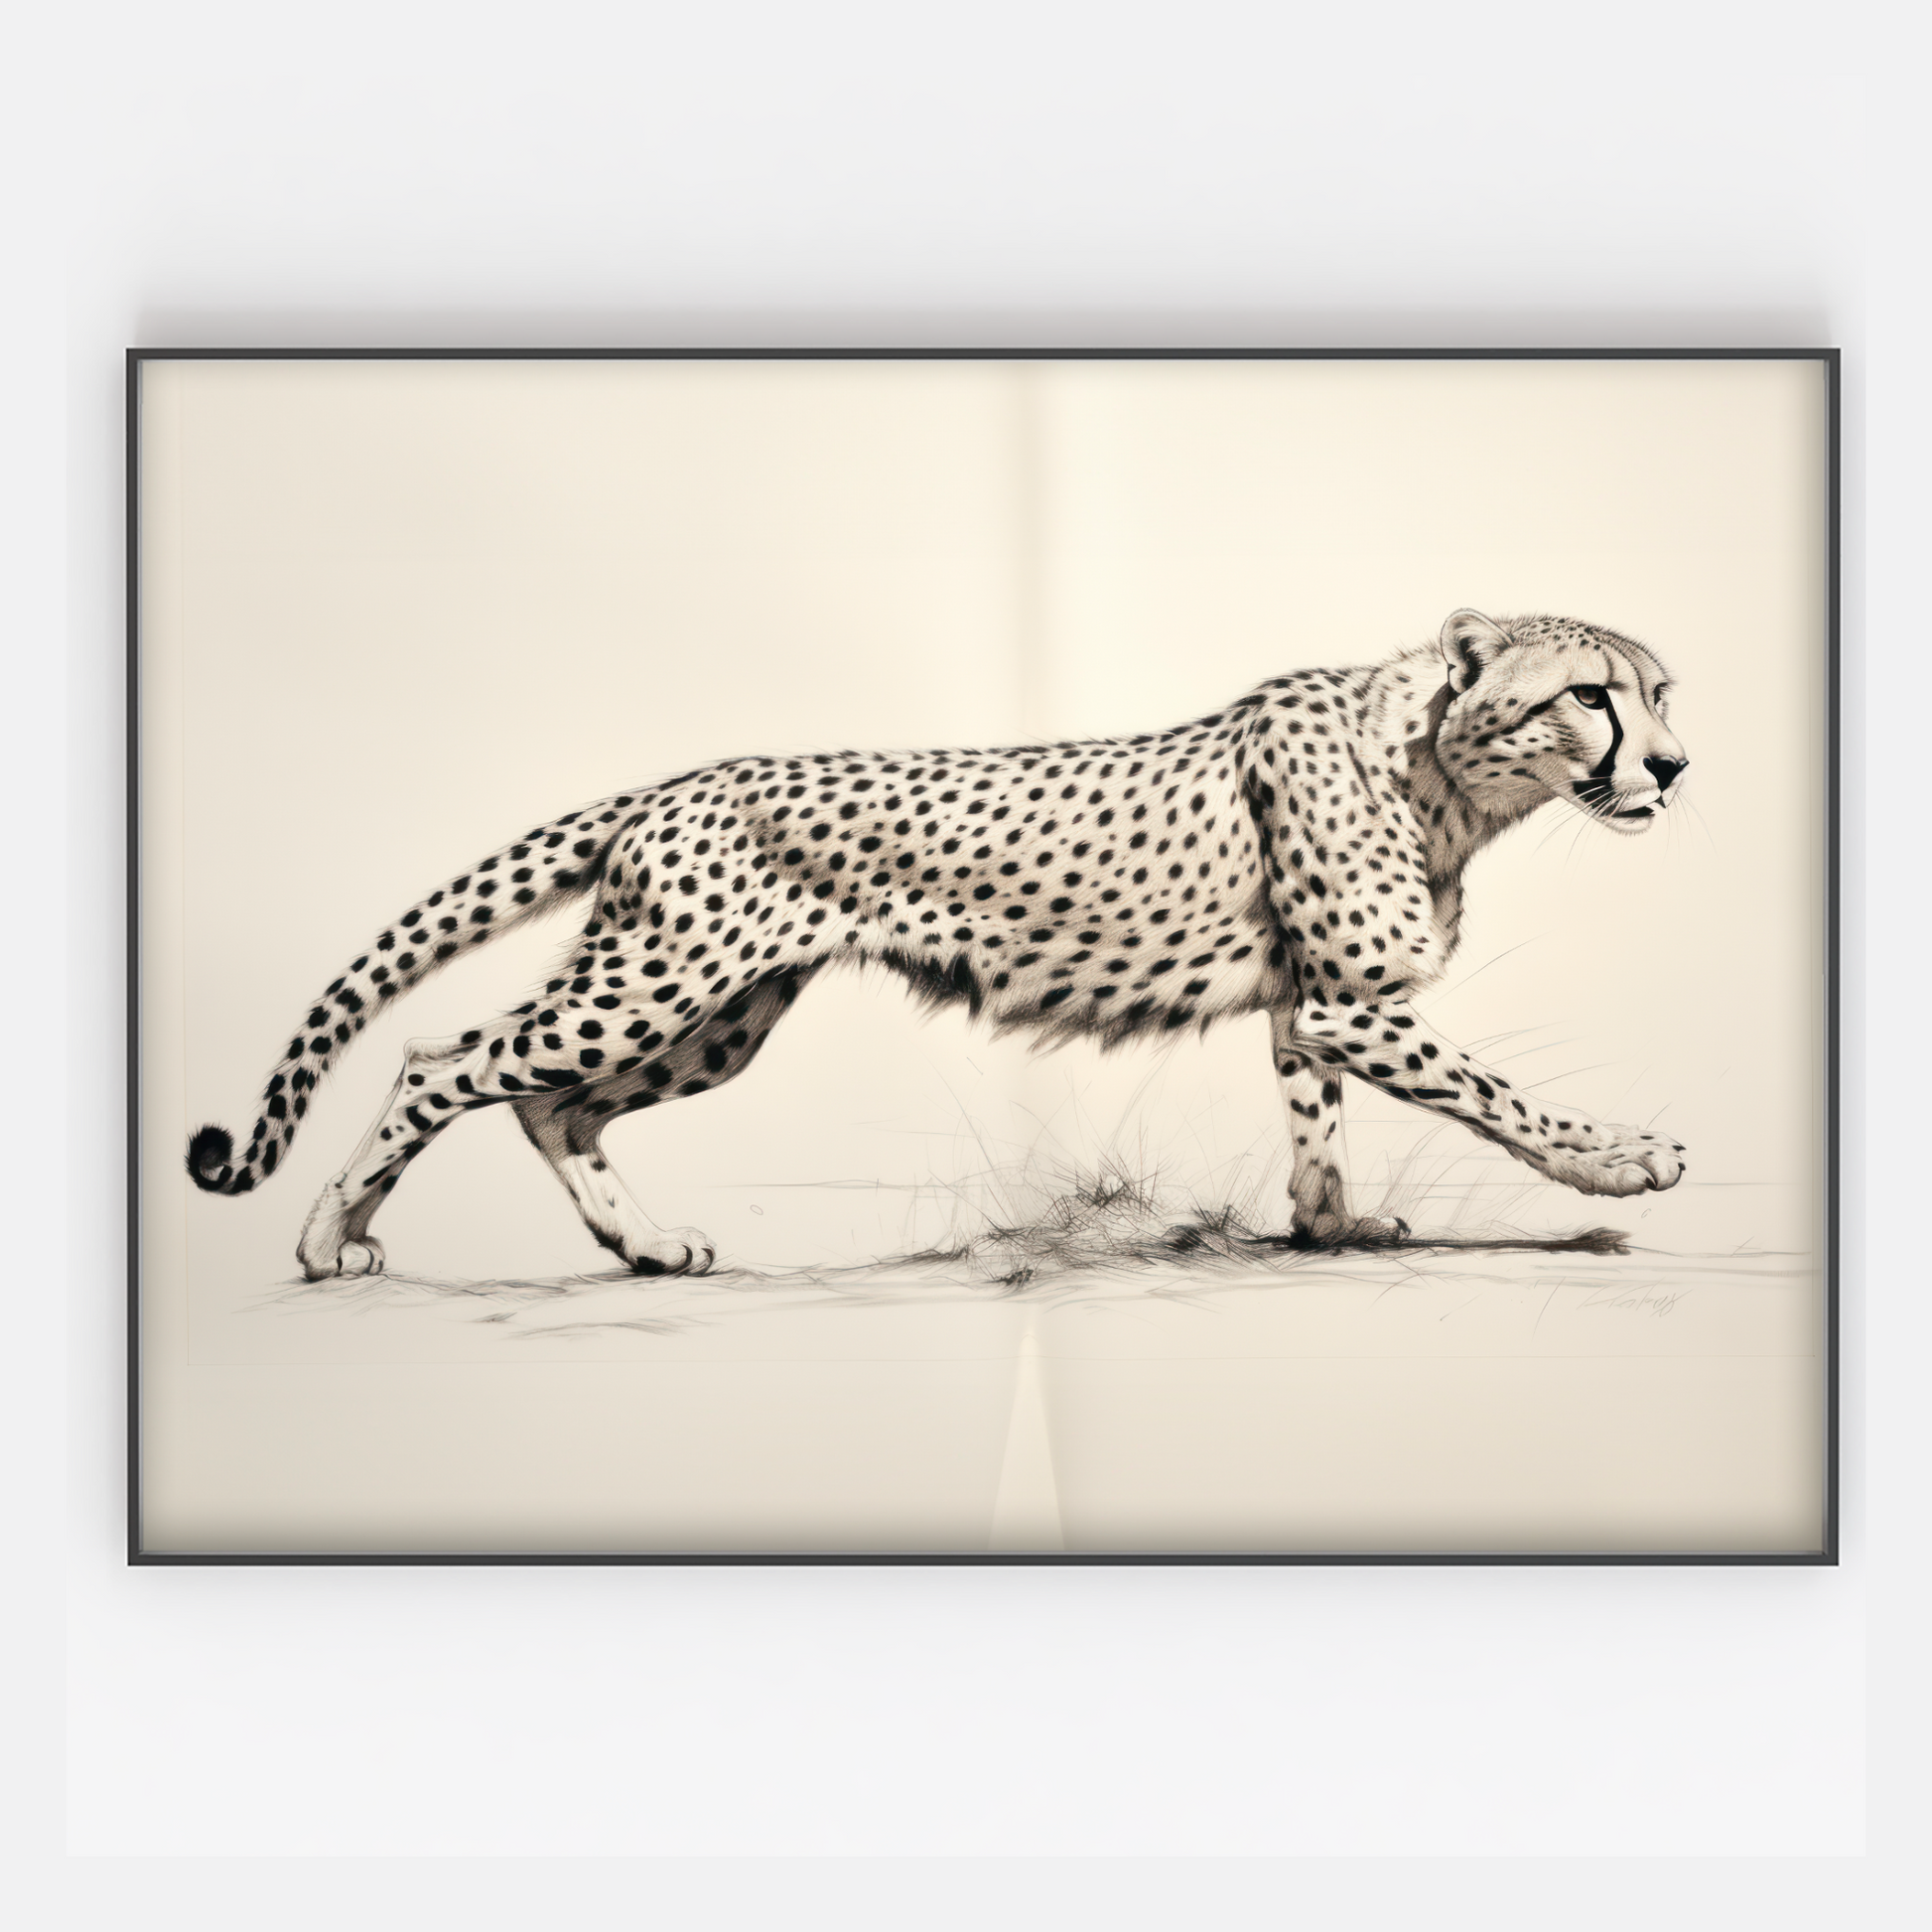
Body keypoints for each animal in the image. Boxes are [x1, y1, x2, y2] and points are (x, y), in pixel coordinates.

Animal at [187, 608, 1689, 1280]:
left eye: (1661, 692)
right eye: (1587, 696)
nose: (1673, 766)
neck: (1439, 766)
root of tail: (677, 780)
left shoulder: (1313, 1003)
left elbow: (1314, 1124)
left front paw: (1332, 1225)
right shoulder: (1349, 1003)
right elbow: (1496, 1095)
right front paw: (1622, 1160)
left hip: (718, 1016)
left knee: (551, 1102)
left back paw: (646, 1243)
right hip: (655, 983)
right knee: (445, 1056)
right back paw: (325, 1238)